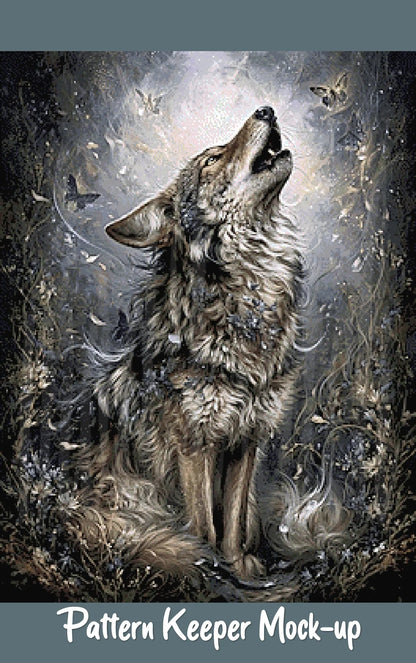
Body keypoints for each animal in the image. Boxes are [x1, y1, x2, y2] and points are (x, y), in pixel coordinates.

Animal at [65, 106, 346, 585]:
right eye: (213, 160)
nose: (267, 110)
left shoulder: (245, 440)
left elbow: (230, 519)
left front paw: (238, 567)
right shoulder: (193, 444)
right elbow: (203, 523)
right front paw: (208, 568)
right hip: (129, 495)